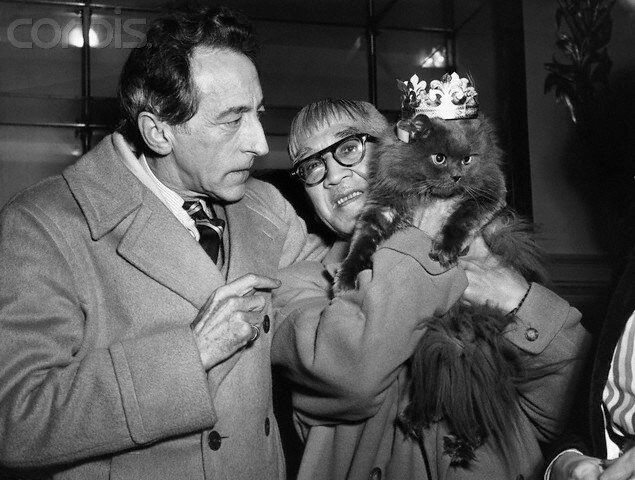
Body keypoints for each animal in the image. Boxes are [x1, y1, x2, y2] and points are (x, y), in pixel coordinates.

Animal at [336, 110, 548, 466]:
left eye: (467, 159)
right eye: (439, 158)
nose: (457, 177)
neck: (428, 195)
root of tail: (460, 335)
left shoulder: (487, 193)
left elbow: (461, 218)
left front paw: (445, 250)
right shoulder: (381, 207)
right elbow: (359, 245)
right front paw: (345, 279)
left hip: (474, 359)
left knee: (483, 414)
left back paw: (459, 446)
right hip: (434, 350)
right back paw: (415, 421)